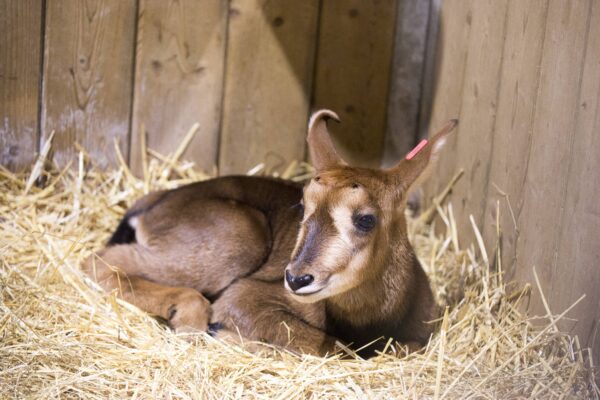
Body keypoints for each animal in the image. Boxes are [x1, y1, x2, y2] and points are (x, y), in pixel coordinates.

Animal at [84, 111, 458, 358]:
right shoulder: (245, 295)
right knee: (104, 259)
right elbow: (335, 348)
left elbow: (399, 348)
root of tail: (155, 202)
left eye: (366, 219)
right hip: (239, 240)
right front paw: (227, 334)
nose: (296, 279)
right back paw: (189, 316)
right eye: (303, 204)